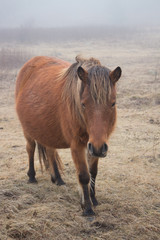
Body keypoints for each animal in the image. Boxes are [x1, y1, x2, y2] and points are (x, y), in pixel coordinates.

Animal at [15, 55, 121, 216]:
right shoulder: (78, 145)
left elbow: (93, 173)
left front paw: (94, 199)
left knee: (50, 152)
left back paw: (58, 179)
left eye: (113, 103)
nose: (97, 147)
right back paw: (32, 177)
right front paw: (87, 209)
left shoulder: (96, 145)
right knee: (30, 149)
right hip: (27, 130)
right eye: (83, 104)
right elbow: (84, 176)